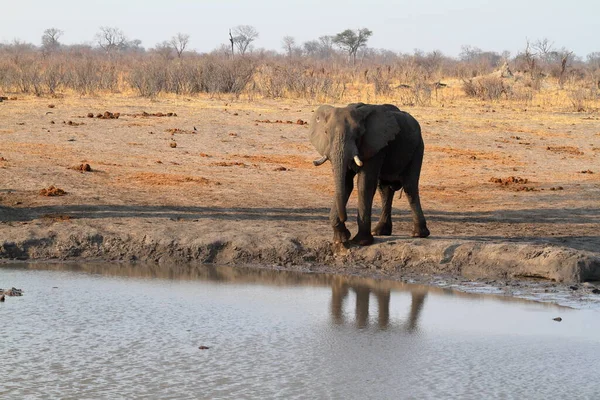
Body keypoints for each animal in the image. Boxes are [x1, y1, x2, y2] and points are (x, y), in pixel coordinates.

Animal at [308, 102, 428, 247]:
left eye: (358, 133)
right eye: (326, 132)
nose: (345, 218)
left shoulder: (375, 145)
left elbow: (364, 184)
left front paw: (361, 242)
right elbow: (346, 184)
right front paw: (341, 239)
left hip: (418, 147)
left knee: (409, 187)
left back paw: (419, 234)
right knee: (385, 189)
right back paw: (380, 232)